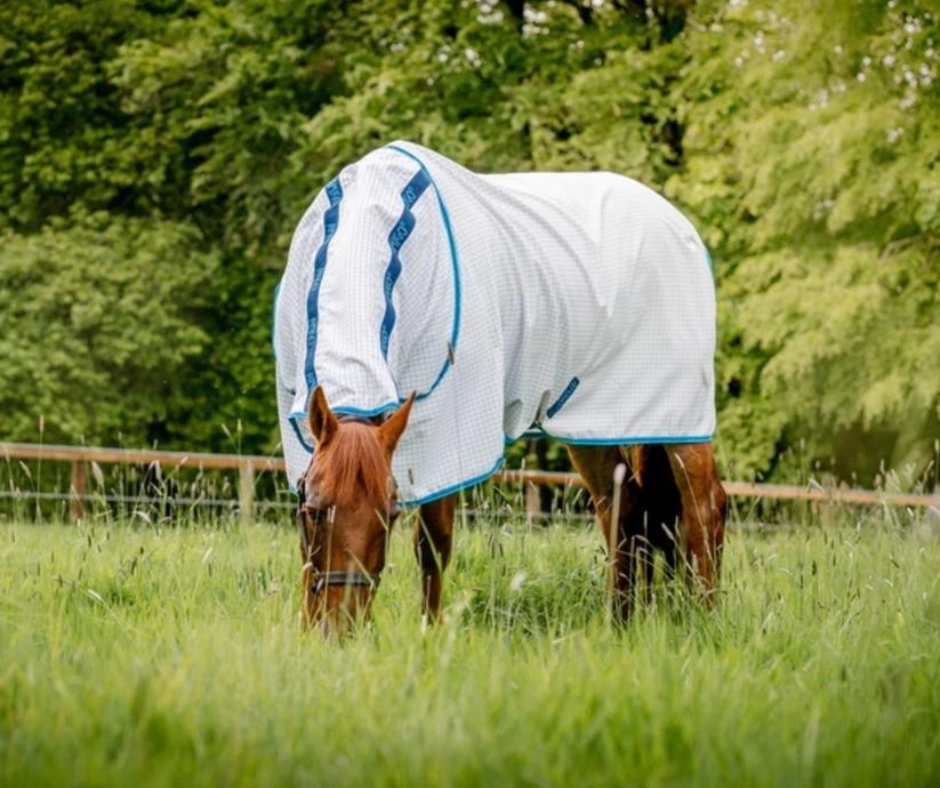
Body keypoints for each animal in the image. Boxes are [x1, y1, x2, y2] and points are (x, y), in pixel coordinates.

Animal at [276, 142, 726, 636]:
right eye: (314, 511)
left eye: (390, 514)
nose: (340, 630)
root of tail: (676, 222)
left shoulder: (447, 433)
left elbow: (433, 544)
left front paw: (430, 631)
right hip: (601, 425)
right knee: (625, 510)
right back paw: (619, 624)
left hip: (680, 420)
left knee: (704, 506)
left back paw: (704, 618)